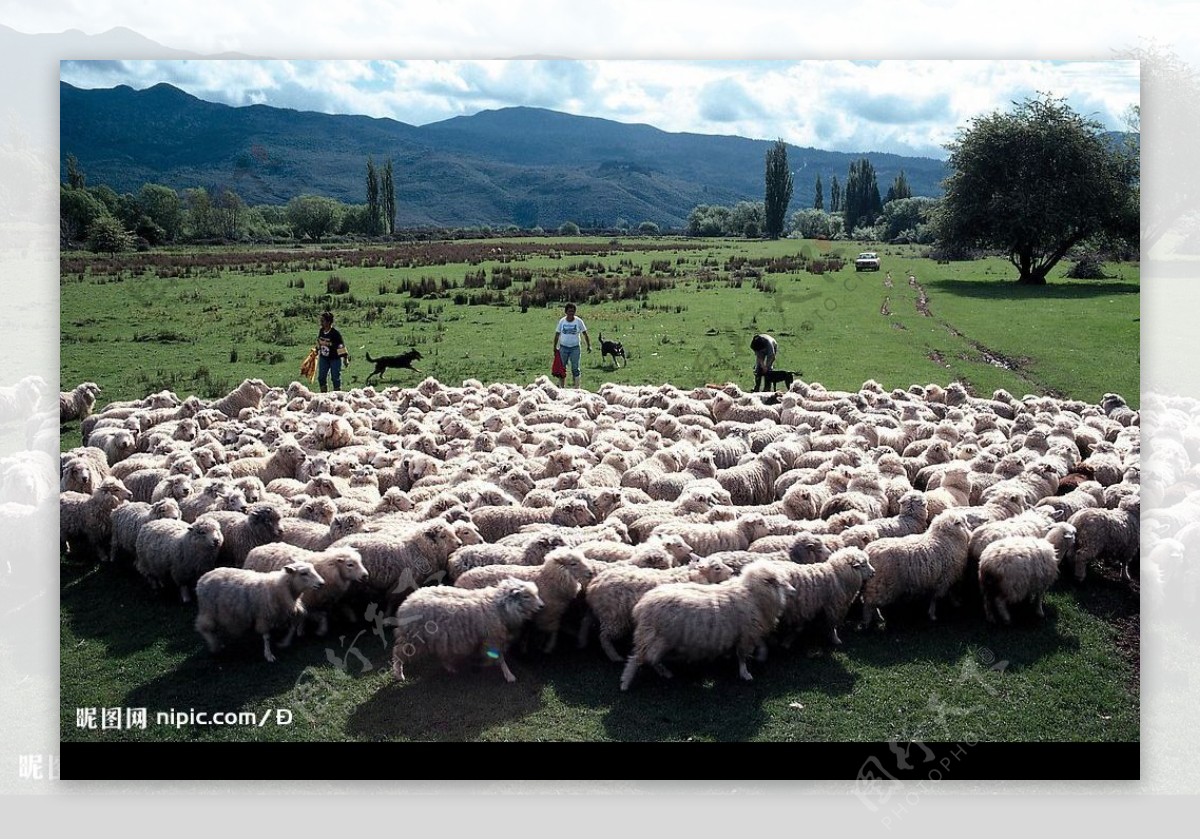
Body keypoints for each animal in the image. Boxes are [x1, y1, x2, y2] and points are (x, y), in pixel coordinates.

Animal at [196, 556, 328, 662]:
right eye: (303, 573)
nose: (322, 583)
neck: (281, 588)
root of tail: (203, 578)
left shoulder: (285, 613)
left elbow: (292, 629)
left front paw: (284, 643)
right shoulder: (264, 616)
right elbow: (267, 637)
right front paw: (268, 655)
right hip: (208, 609)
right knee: (204, 627)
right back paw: (214, 645)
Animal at [393, 578, 544, 681]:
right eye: (526, 596)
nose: (542, 606)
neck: (500, 606)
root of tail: (405, 603)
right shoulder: (493, 638)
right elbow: (500, 658)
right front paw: (509, 675)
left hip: (437, 638)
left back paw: (450, 667)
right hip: (413, 637)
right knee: (397, 653)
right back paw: (399, 674)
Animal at [453, 547, 595, 652]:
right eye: (573, 563)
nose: (591, 573)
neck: (549, 579)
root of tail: (459, 580)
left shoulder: (551, 613)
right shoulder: (549, 613)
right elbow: (553, 630)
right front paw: (548, 647)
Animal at [580, 556, 729, 662]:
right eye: (717, 568)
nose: (732, 572)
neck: (691, 575)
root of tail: (594, 585)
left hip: (599, 611)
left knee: (586, 621)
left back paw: (582, 642)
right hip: (614, 616)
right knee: (604, 636)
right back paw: (614, 656)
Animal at [619, 556, 796, 691]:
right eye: (780, 582)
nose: (794, 591)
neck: (752, 594)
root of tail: (641, 606)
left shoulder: (746, 633)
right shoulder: (746, 635)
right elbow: (742, 657)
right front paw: (745, 674)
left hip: (659, 639)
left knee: (652, 659)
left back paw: (664, 672)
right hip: (653, 637)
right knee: (637, 658)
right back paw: (625, 683)